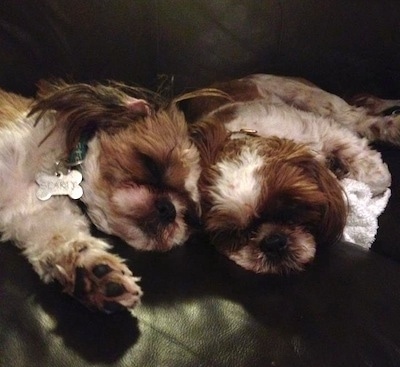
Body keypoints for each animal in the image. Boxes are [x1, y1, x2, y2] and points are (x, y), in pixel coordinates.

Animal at [0, 82, 200, 312]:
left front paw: (91, 271)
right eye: (152, 165)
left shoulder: (34, 214)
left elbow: (59, 239)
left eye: (188, 214)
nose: (169, 209)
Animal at [185, 75, 396, 274]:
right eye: (233, 234)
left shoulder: (325, 131)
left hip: (314, 100)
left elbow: (378, 177)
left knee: (363, 120)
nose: (273, 242)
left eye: (292, 209)